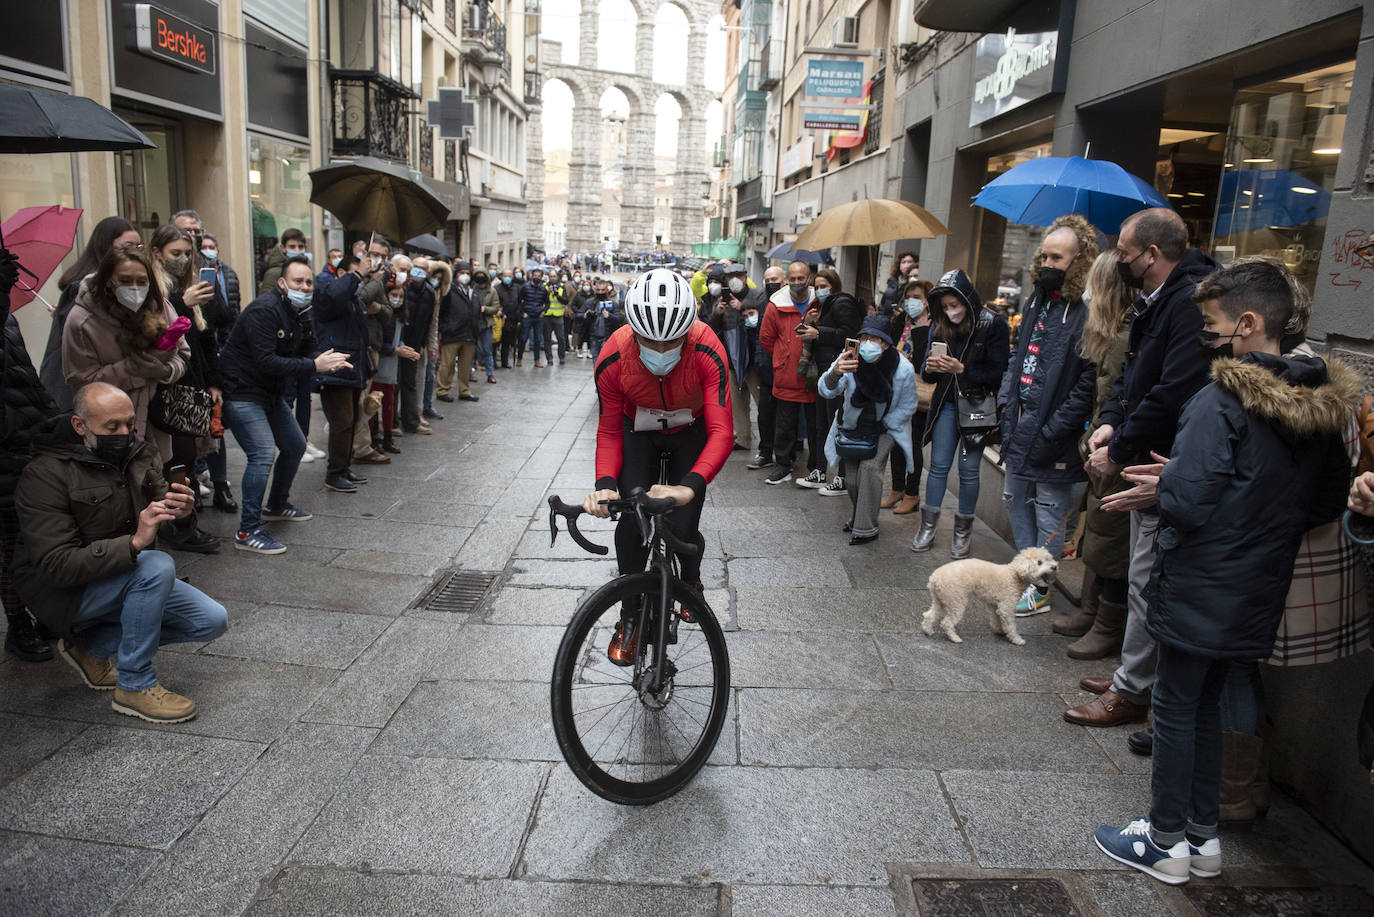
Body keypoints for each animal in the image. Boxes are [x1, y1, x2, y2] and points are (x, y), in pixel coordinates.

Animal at [923, 549, 1060, 648]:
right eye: (1039, 562)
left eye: (1049, 559)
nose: (1054, 567)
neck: (1015, 575)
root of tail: (934, 578)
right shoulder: (1006, 606)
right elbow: (1011, 625)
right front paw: (1016, 639)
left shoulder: (994, 605)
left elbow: (995, 619)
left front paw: (999, 630)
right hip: (956, 601)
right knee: (946, 623)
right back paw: (955, 638)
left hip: (940, 600)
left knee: (929, 615)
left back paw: (928, 631)